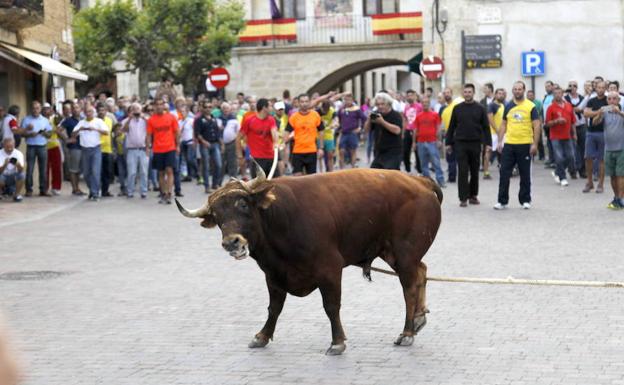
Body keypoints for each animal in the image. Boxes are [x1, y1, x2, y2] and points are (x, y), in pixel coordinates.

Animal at [176, 167, 442, 354]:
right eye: (217, 215)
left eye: (242, 204)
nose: (232, 242)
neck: (279, 218)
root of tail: (420, 181)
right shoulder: (273, 274)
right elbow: (274, 307)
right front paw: (262, 336)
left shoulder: (330, 269)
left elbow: (331, 306)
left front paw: (337, 342)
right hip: (393, 253)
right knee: (422, 271)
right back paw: (419, 318)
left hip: (405, 252)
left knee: (409, 287)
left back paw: (407, 332)